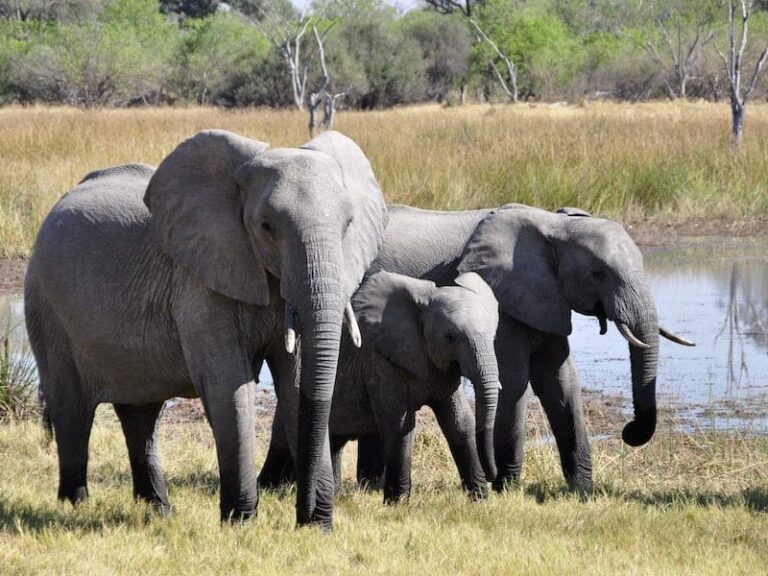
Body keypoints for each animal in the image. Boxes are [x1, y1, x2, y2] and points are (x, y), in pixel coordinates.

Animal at [24, 129, 388, 529]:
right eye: (266, 228)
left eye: (348, 225)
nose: (309, 517)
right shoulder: (199, 282)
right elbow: (228, 385)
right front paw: (240, 522)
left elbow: (295, 385)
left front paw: (314, 526)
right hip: (46, 304)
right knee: (71, 408)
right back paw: (74, 505)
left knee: (141, 414)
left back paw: (158, 510)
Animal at [262, 203, 694, 494]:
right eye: (599, 273)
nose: (629, 432)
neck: (554, 225)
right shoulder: (505, 297)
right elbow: (515, 382)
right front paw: (508, 488)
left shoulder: (545, 299)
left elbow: (560, 383)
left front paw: (581, 492)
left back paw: (363, 485)